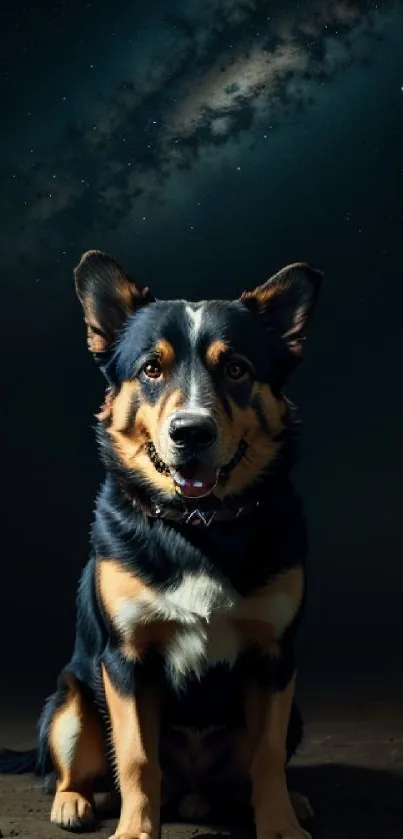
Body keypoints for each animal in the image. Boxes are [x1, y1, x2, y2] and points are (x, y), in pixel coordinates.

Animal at [0, 251, 322, 839]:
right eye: (151, 369)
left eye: (236, 369)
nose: (190, 431)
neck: (200, 526)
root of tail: (190, 793)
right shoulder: (126, 660)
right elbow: (134, 757)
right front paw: (134, 829)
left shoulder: (274, 658)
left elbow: (265, 756)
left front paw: (281, 824)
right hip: (70, 701)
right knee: (73, 765)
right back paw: (77, 801)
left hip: (294, 710)